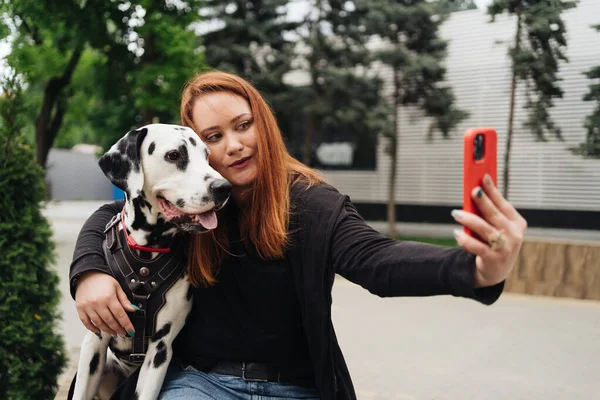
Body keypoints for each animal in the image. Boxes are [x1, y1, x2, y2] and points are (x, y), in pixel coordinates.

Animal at [70, 123, 230, 398]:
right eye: (174, 155)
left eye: (207, 155)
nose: (223, 188)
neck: (144, 261)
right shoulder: (94, 342)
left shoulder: (160, 351)